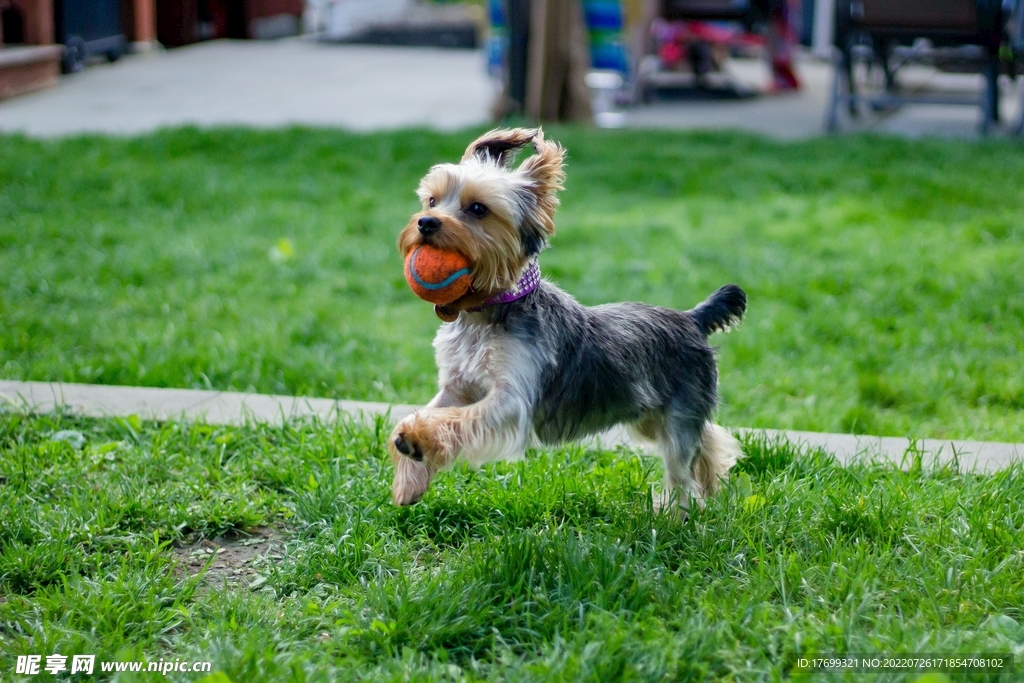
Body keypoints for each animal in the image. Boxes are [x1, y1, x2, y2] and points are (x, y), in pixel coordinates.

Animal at [385, 127, 745, 509]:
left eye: (478, 209)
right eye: (431, 201)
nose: (425, 222)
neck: (486, 310)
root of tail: (693, 319)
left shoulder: (512, 399)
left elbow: (456, 419)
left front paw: (417, 441)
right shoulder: (458, 385)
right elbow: (432, 411)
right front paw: (408, 473)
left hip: (678, 410)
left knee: (681, 469)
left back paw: (676, 514)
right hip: (646, 412)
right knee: (707, 441)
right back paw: (713, 481)